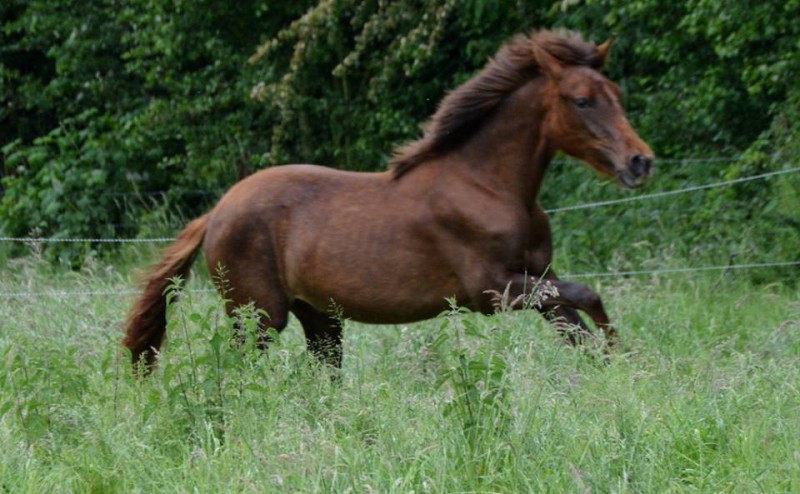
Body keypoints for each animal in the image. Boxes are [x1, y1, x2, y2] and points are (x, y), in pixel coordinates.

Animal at [123, 29, 648, 372]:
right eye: (581, 101)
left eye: (617, 93)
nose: (640, 161)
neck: (490, 187)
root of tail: (217, 211)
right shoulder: (491, 291)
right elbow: (589, 295)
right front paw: (625, 358)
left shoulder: (539, 278)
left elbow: (577, 329)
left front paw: (616, 372)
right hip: (258, 317)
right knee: (240, 373)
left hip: (319, 319)